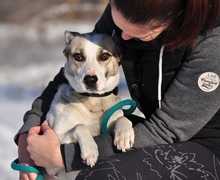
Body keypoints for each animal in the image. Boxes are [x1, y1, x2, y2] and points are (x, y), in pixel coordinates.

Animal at [43, 31, 134, 180]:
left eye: (104, 56)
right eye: (78, 56)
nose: (90, 79)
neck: (93, 101)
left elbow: (123, 117)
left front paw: (124, 135)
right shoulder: (50, 163)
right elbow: (80, 126)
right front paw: (90, 150)